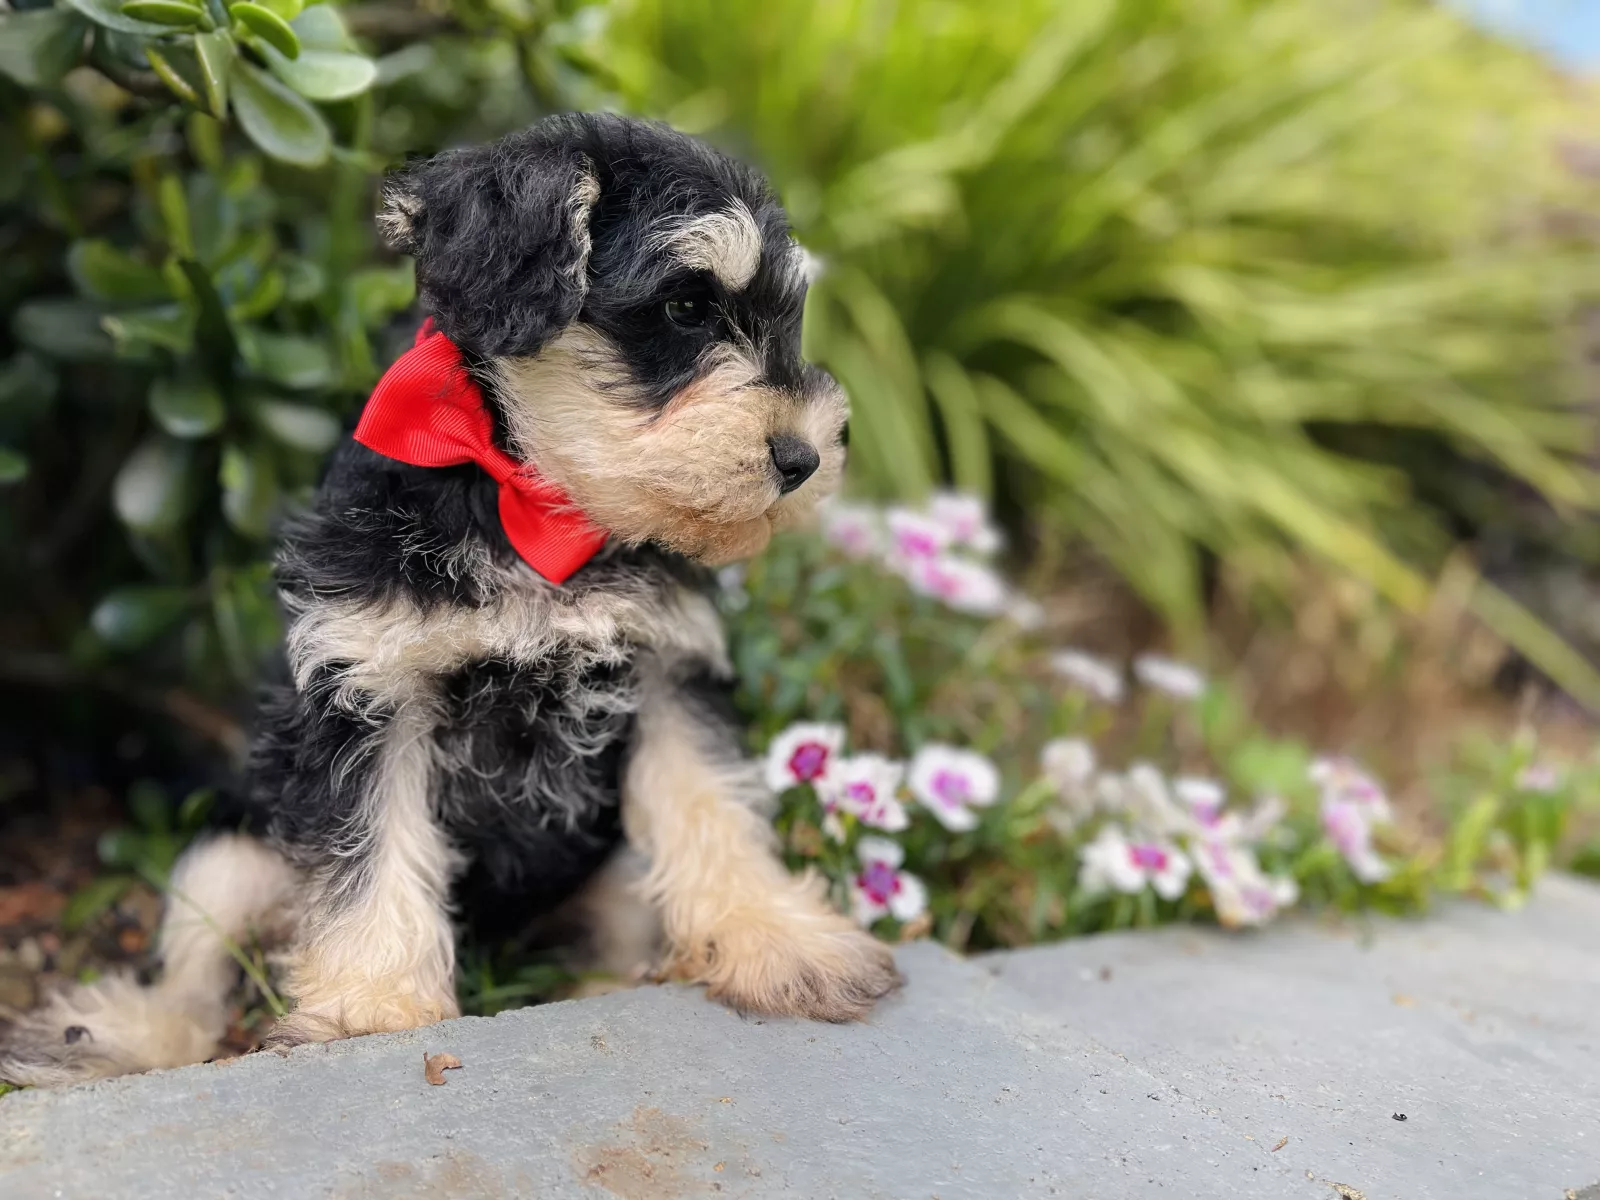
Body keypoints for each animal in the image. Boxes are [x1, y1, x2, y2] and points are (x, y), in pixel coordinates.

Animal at [0, 112, 898, 1086]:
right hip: (234, 852)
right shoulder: (368, 683)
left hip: (609, 875)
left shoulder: (668, 673)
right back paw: (119, 1036)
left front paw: (783, 940)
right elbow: (373, 853)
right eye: (686, 308)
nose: (805, 458)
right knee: (194, 964)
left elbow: (714, 809)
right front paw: (371, 1009)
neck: (530, 503)